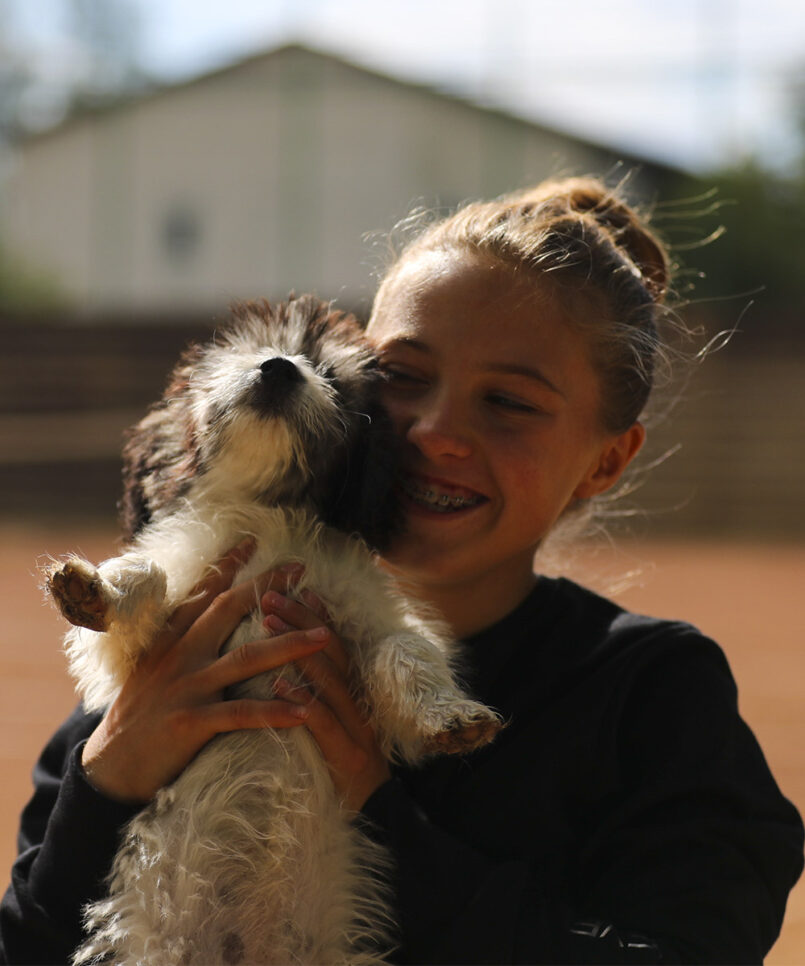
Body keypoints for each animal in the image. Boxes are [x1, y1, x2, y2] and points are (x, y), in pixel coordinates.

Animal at [45, 296, 502, 966]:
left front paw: (447, 714)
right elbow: (145, 577)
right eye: (246, 351)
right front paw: (97, 590)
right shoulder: (139, 643)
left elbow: (404, 647)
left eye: (331, 374)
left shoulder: (365, 613)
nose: (280, 369)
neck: (272, 516)